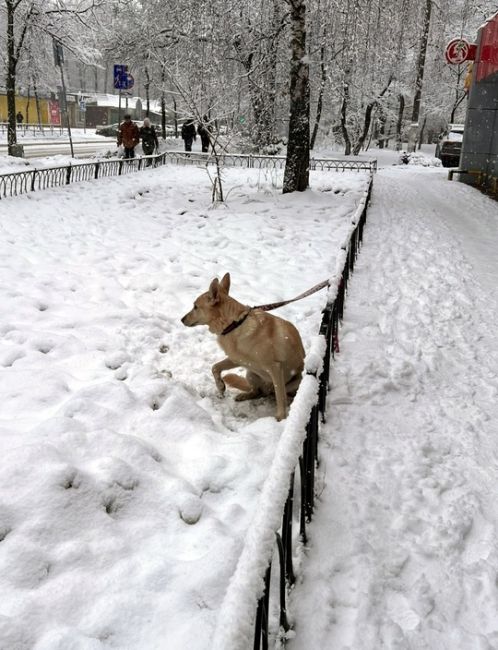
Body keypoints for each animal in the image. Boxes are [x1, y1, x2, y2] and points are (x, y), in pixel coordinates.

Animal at [181, 270, 306, 418]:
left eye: (195, 307)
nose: (181, 319)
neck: (234, 324)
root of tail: (267, 389)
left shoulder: (275, 368)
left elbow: (280, 398)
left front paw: (281, 418)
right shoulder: (237, 359)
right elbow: (215, 367)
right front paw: (220, 386)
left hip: (295, 380)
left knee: (282, 394)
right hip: (251, 374)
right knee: (257, 392)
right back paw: (244, 395)